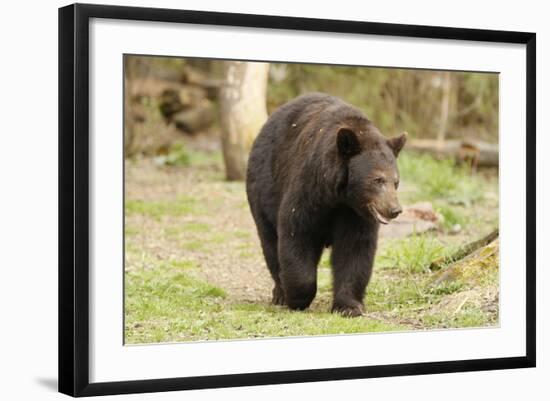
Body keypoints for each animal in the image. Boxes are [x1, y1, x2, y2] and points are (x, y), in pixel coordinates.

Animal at [248, 93, 408, 316]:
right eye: (377, 180)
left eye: (396, 181)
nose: (395, 209)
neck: (340, 196)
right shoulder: (309, 191)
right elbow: (297, 233)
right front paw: (297, 297)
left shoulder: (354, 213)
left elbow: (354, 250)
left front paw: (349, 306)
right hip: (263, 190)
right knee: (270, 242)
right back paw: (279, 293)